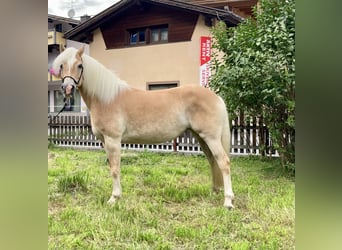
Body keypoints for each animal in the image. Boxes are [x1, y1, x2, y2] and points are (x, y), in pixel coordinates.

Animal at [50, 46, 235, 209]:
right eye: (62, 65)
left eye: (79, 65)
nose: (67, 88)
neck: (106, 99)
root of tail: (216, 97)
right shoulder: (104, 141)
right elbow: (111, 167)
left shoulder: (113, 140)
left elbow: (115, 169)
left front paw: (114, 198)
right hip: (200, 136)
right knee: (212, 161)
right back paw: (214, 191)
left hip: (211, 137)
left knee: (223, 162)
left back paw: (228, 201)